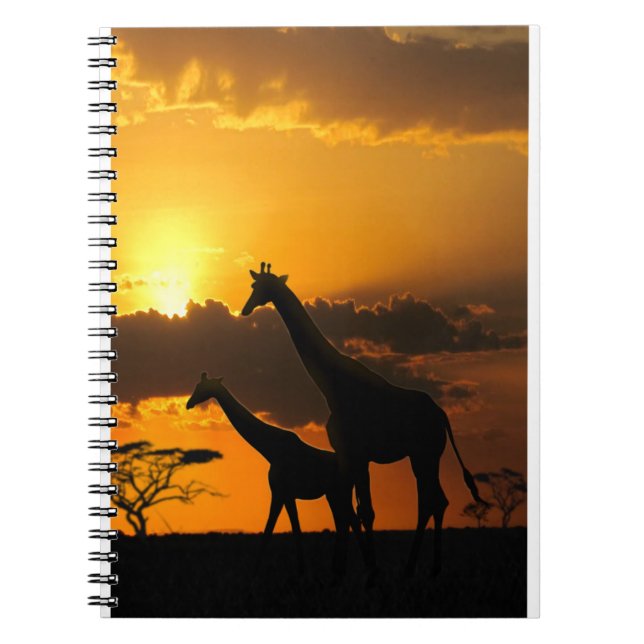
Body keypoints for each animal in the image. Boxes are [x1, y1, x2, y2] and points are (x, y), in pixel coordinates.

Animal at [186, 372, 363, 576]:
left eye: (201, 387)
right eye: (196, 386)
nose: (188, 403)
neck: (271, 449)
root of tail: (355, 470)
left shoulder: (280, 492)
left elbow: (271, 529)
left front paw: (256, 573)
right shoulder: (286, 494)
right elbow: (293, 528)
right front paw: (301, 570)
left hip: (337, 493)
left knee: (350, 522)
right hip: (335, 494)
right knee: (347, 522)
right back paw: (342, 569)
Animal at [241, 262, 486, 577]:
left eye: (259, 287)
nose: (245, 309)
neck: (332, 385)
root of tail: (441, 415)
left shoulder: (354, 452)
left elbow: (359, 512)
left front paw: (367, 573)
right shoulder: (352, 455)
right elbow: (355, 511)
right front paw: (350, 571)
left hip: (426, 454)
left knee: (432, 501)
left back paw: (419, 568)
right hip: (423, 456)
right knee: (435, 501)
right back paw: (424, 569)